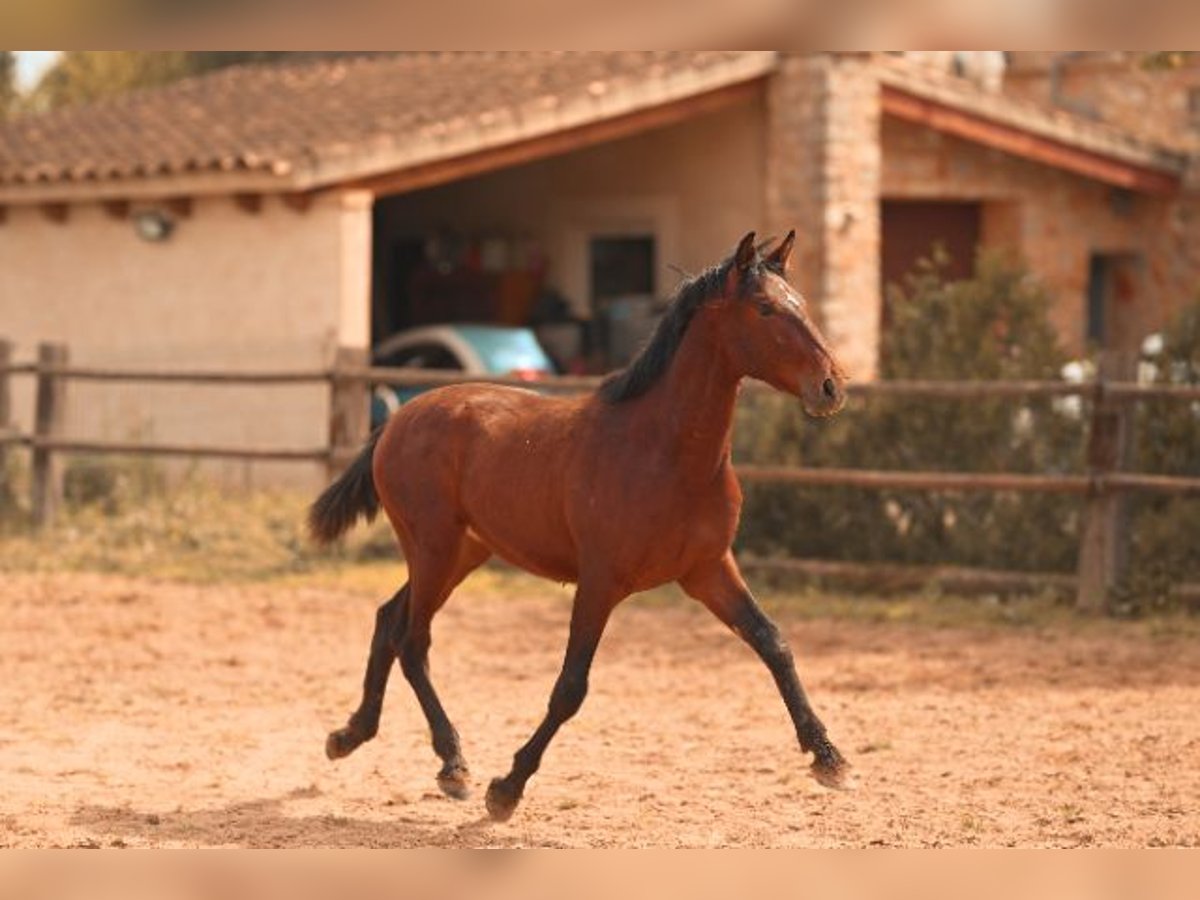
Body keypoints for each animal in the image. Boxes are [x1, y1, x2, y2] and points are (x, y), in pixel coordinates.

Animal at [309, 230, 850, 821]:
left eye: (800, 303)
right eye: (765, 309)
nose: (830, 386)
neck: (663, 453)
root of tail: (397, 419)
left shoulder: (708, 570)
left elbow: (773, 643)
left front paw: (829, 758)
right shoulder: (600, 581)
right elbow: (571, 687)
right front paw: (507, 788)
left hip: (463, 552)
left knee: (390, 620)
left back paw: (352, 736)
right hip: (432, 547)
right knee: (413, 638)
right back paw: (451, 765)